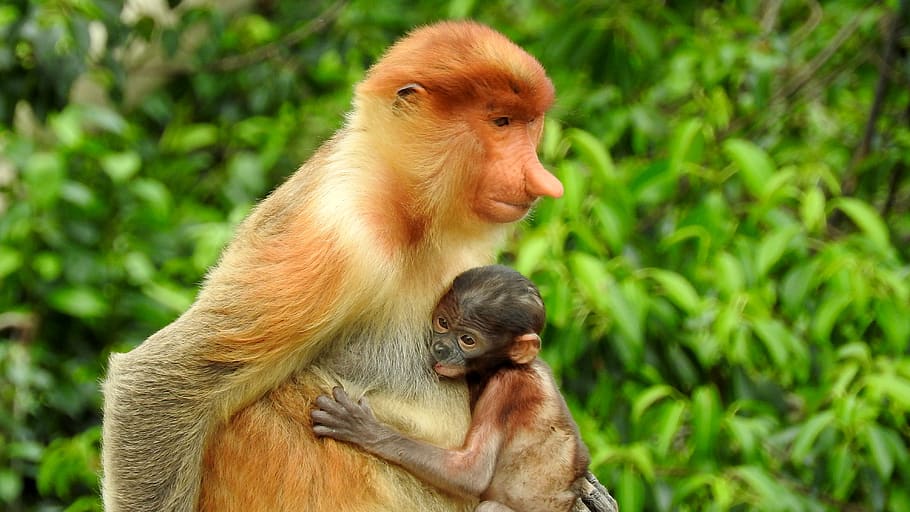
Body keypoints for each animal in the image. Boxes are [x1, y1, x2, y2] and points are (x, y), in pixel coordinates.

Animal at [100, 21, 582, 511]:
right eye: (501, 122)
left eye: (529, 123)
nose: (542, 180)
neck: (406, 209)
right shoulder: (337, 238)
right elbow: (156, 384)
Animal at [312, 265, 619, 512]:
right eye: (442, 323)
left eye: (467, 340)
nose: (440, 348)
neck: (508, 365)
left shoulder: (505, 387)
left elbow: (472, 472)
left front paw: (363, 429)